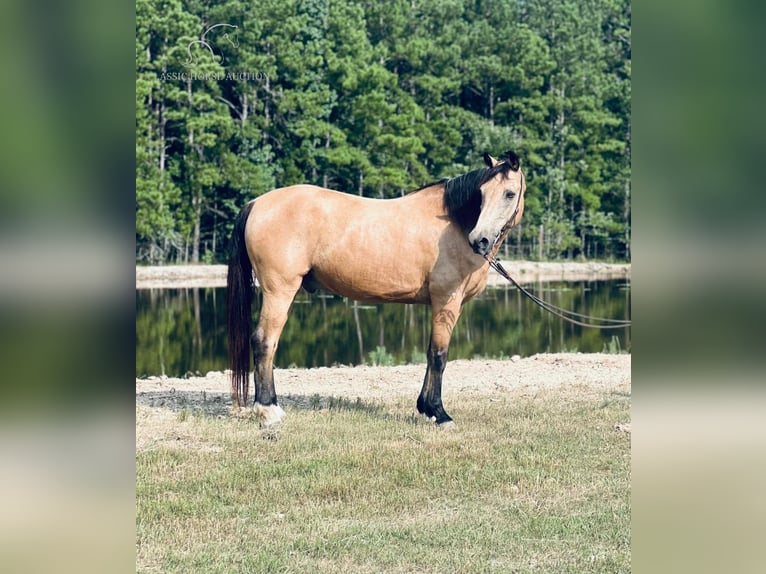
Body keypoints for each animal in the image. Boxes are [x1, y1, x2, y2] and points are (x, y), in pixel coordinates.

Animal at [228, 148, 528, 428]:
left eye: (509, 194)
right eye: (482, 194)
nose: (480, 240)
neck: (454, 223)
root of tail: (256, 203)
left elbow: (430, 353)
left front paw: (426, 408)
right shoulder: (446, 301)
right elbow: (439, 355)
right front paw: (440, 414)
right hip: (279, 291)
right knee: (265, 341)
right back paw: (268, 410)